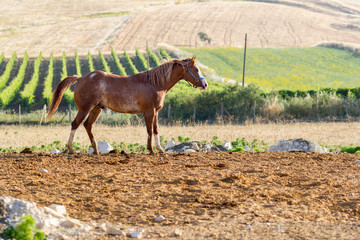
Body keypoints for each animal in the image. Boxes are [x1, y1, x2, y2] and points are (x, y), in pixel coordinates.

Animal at [45, 56, 208, 154]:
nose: (205, 84)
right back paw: (71, 149)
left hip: (96, 109)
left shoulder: (156, 112)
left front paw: (159, 149)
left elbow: (156, 129)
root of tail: (81, 78)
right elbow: (149, 130)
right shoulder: (148, 112)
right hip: (84, 109)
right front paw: (151, 150)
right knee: (75, 124)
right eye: (196, 69)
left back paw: (96, 150)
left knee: (87, 125)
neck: (154, 83)